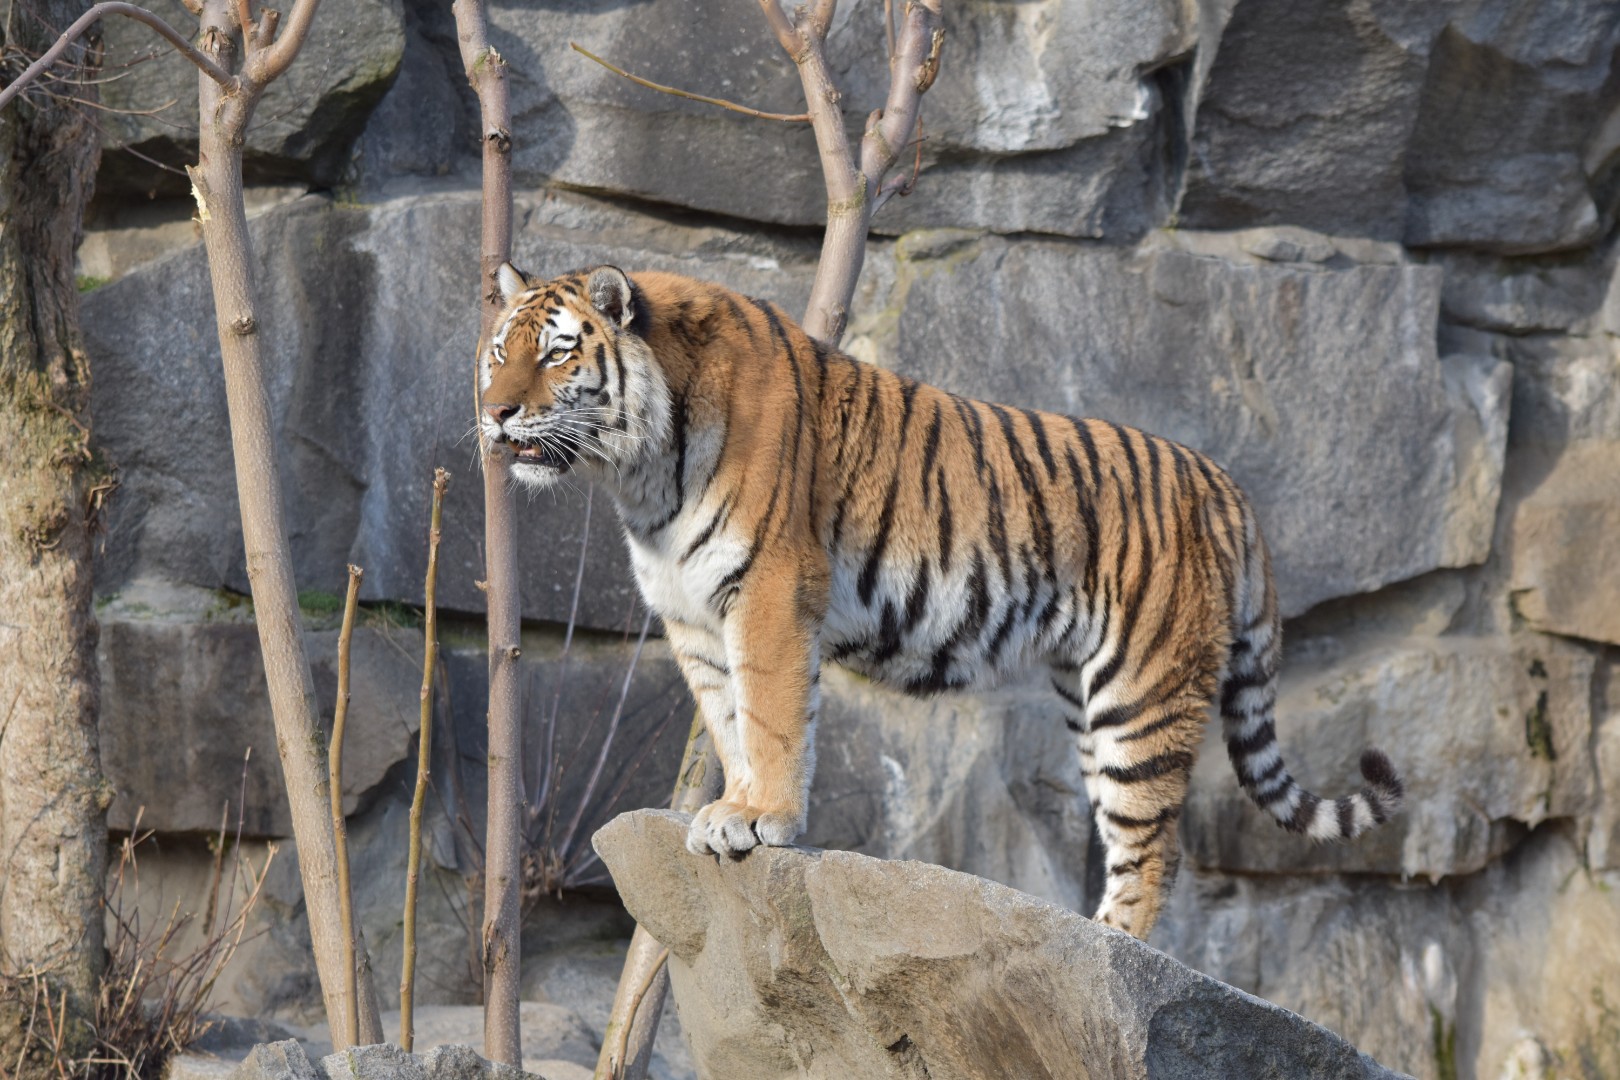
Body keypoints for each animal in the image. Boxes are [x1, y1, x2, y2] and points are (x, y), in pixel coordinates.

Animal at [477, 263, 1404, 939]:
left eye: (557, 354)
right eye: (498, 352)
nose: (494, 414)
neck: (638, 472)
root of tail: (1225, 485)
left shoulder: (769, 589)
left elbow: (770, 715)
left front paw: (761, 817)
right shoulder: (694, 615)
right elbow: (729, 718)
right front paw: (731, 810)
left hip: (1146, 690)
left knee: (1154, 849)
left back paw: (1112, 951)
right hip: (1091, 698)